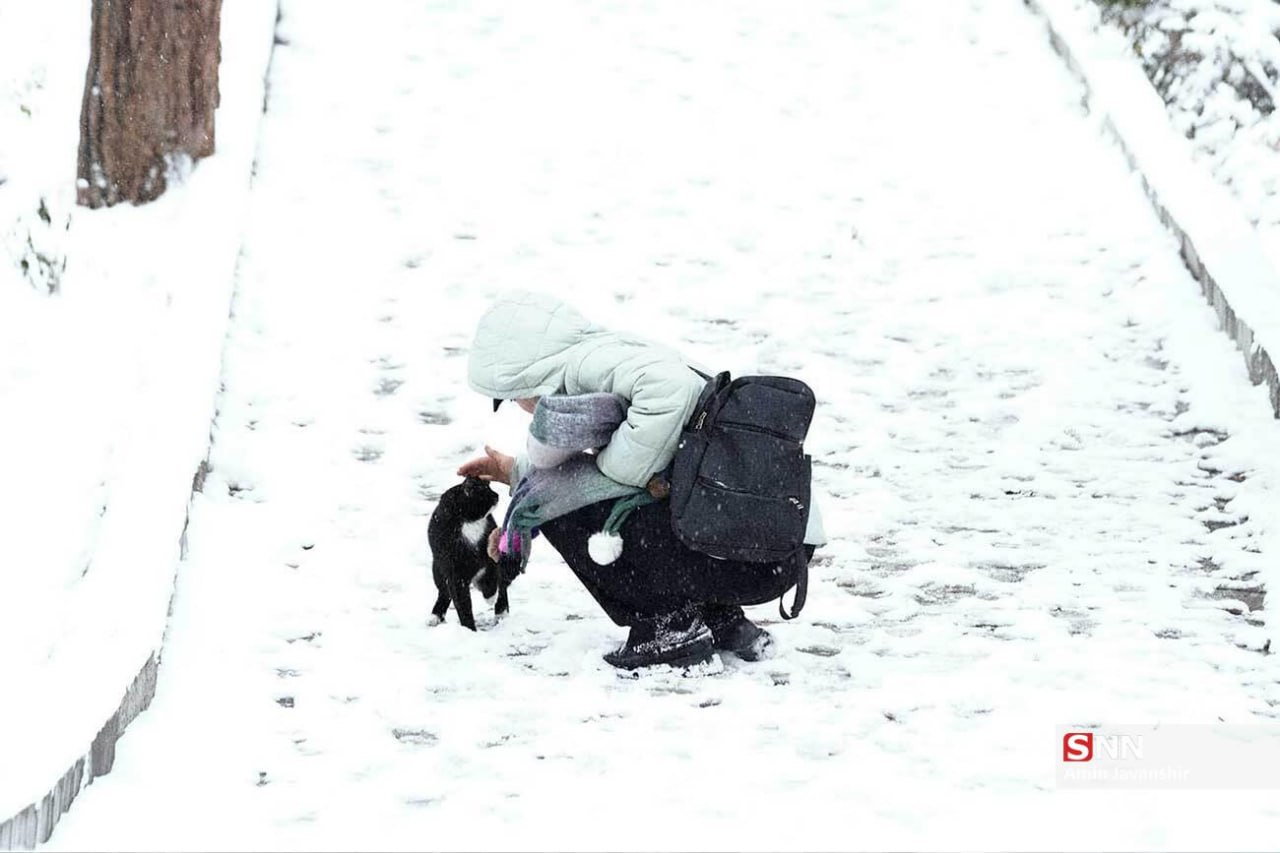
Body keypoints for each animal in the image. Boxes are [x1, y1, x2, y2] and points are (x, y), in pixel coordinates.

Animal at [424, 473, 514, 627]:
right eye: (484, 492)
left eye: (489, 487)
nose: (496, 495)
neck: (470, 523)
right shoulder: (455, 573)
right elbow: (463, 604)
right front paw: (469, 628)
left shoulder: (490, 556)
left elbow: (492, 578)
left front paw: (490, 596)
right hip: (438, 569)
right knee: (444, 592)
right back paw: (435, 616)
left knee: (501, 585)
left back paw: (501, 612)